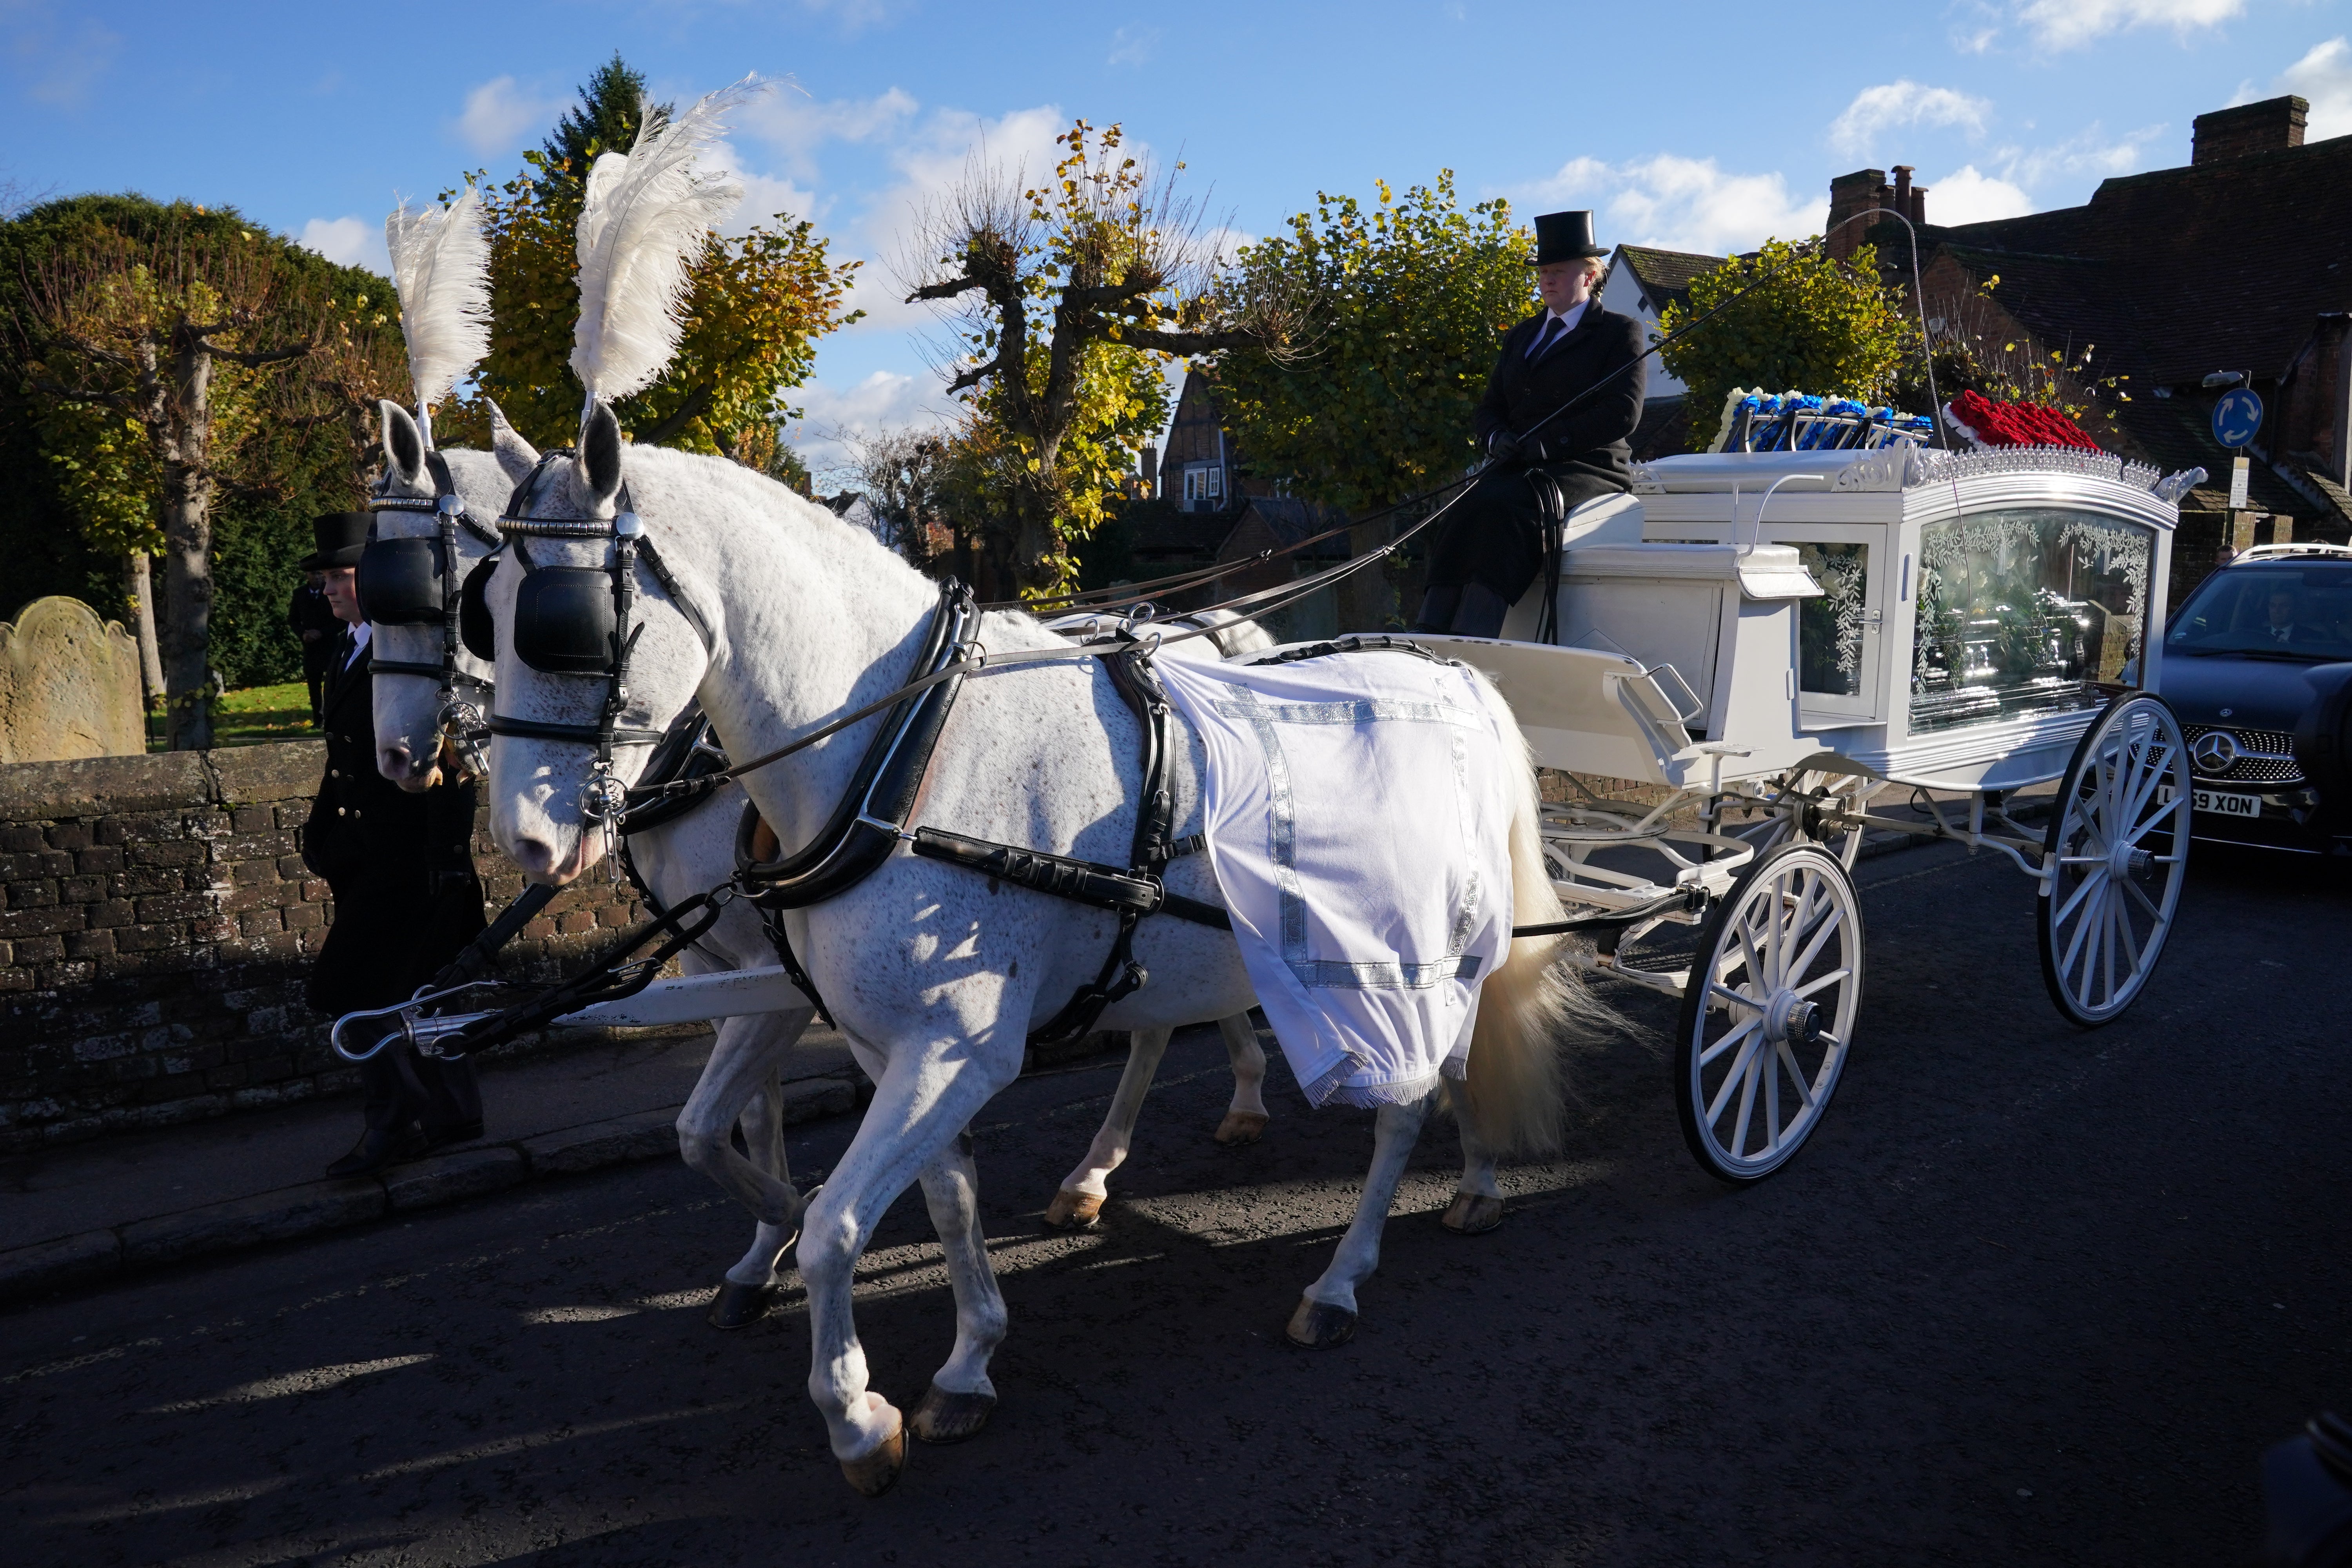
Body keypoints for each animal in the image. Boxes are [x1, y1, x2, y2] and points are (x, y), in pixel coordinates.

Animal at [477, 409, 1581, 1495]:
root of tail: (1453, 672)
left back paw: (1344, 1277)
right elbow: (943, 1201)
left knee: (1407, 1100)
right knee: (1421, 1064)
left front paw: (854, 1412)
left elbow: (838, 1226)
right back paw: (1470, 1178)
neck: (905, 753)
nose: (522, 840)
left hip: (1417, 952)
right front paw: (966, 1360)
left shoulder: (954, 1047)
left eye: (560, 622)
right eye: (478, 606)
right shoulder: (898, 1045)